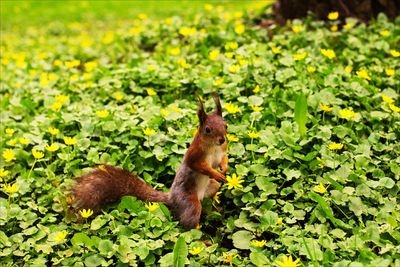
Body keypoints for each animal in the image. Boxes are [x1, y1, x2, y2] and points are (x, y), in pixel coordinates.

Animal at [72, 93, 228, 229]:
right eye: (207, 130)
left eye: (225, 125)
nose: (222, 139)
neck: (213, 146)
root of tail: (171, 198)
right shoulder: (194, 154)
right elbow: (197, 165)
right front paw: (215, 173)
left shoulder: (222, 150)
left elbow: (223, 158)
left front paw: (224, 168)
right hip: (189, 201)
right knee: (188, 225)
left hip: (211, 187)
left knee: (213, 189)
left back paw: (218, 207)